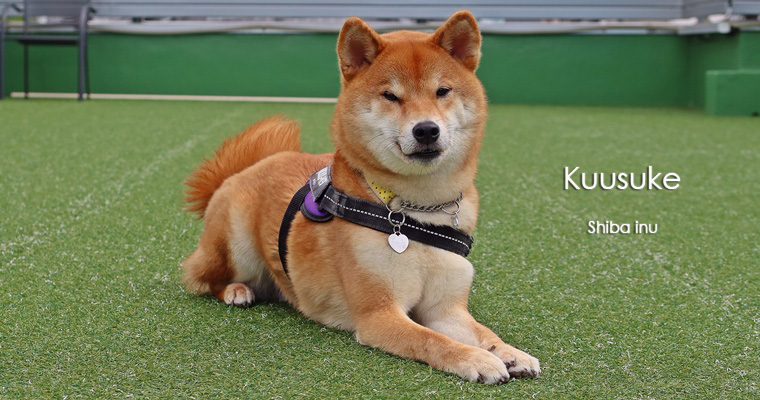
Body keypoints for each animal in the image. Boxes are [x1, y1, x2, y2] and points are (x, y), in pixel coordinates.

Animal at [182, 10, 540, 384]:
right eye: (390, 96)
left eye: (442, 91)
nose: (426, 129)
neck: (418, 213)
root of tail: (251, 166)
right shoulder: (379, 314)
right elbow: (433, 341)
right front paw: (478, 360)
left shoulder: (446, 309)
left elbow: (484, 333)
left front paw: (509, 353)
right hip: (236, 247)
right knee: (201, 278)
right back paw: (236, 290)